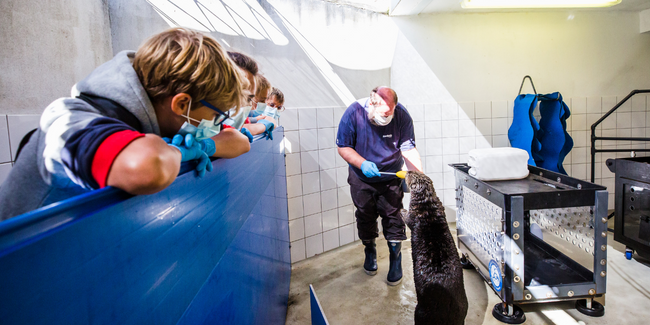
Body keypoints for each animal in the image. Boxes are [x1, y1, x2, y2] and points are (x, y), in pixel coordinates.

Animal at [400, 171, 466, 322]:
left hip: (421, 312)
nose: (408, 171)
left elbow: (407, 218)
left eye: (410, 175)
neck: (427, 206)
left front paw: (401, 209)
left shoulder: (413, 214)